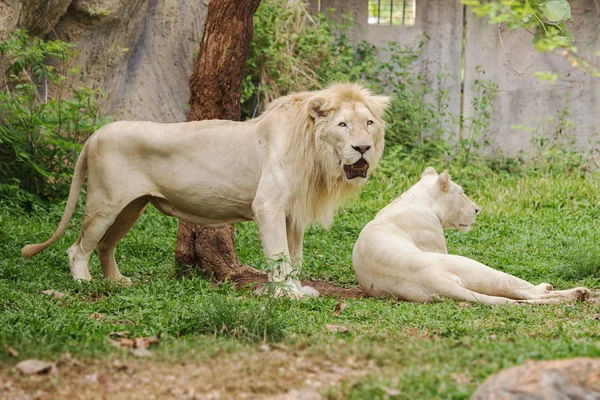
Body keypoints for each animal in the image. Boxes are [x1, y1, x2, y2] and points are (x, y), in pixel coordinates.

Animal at [22, 83, 390, 296]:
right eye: (342, 124)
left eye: (369, 123)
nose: (362, 148)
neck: (314, 151)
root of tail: (94, 135)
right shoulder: (268, 206)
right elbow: (279, 256)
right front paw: (285, 294)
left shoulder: (291, 214)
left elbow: (294, 256)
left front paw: (296, 288)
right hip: (105, 202)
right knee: (78, 248)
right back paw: (84, 284)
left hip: (130, 207)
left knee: (105, 244)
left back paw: (115, 281)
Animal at [352, 167, 592, 304]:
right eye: (462, 193)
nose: (477, 209)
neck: (420, 200)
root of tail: (432, 281)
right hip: (474, 268)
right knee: (526, 293)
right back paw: (575, 293)